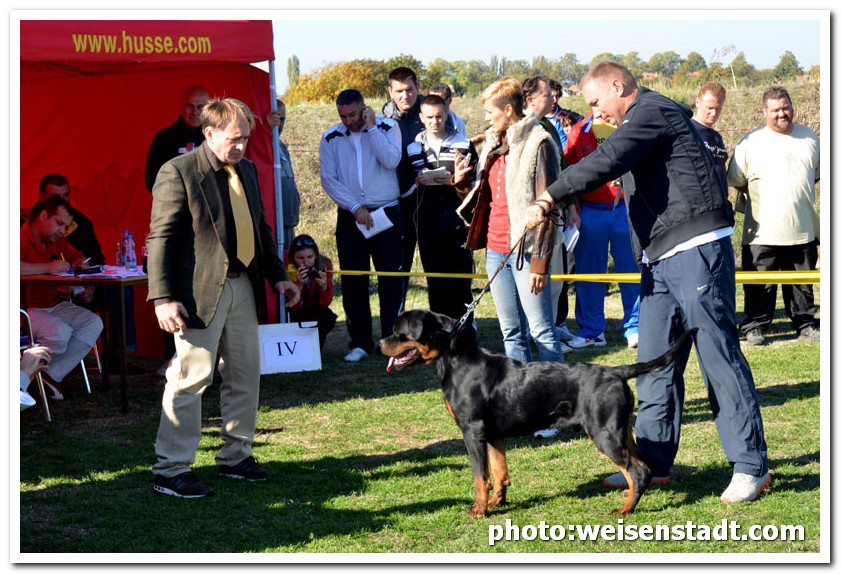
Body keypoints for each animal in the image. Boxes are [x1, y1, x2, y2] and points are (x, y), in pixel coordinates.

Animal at [380, 312, 696, 520]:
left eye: (399, 331)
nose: (380, 344)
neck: (457, 362)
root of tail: (617, 371)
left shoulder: (472, 430)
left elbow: (480, 476)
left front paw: (479, 510)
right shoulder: (492, 433)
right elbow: (499, 471)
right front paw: (497, 503)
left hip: (604, 432)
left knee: (637, 470)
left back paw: (626, 509)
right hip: (620, 430)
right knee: (643, 468)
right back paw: (629, 498)